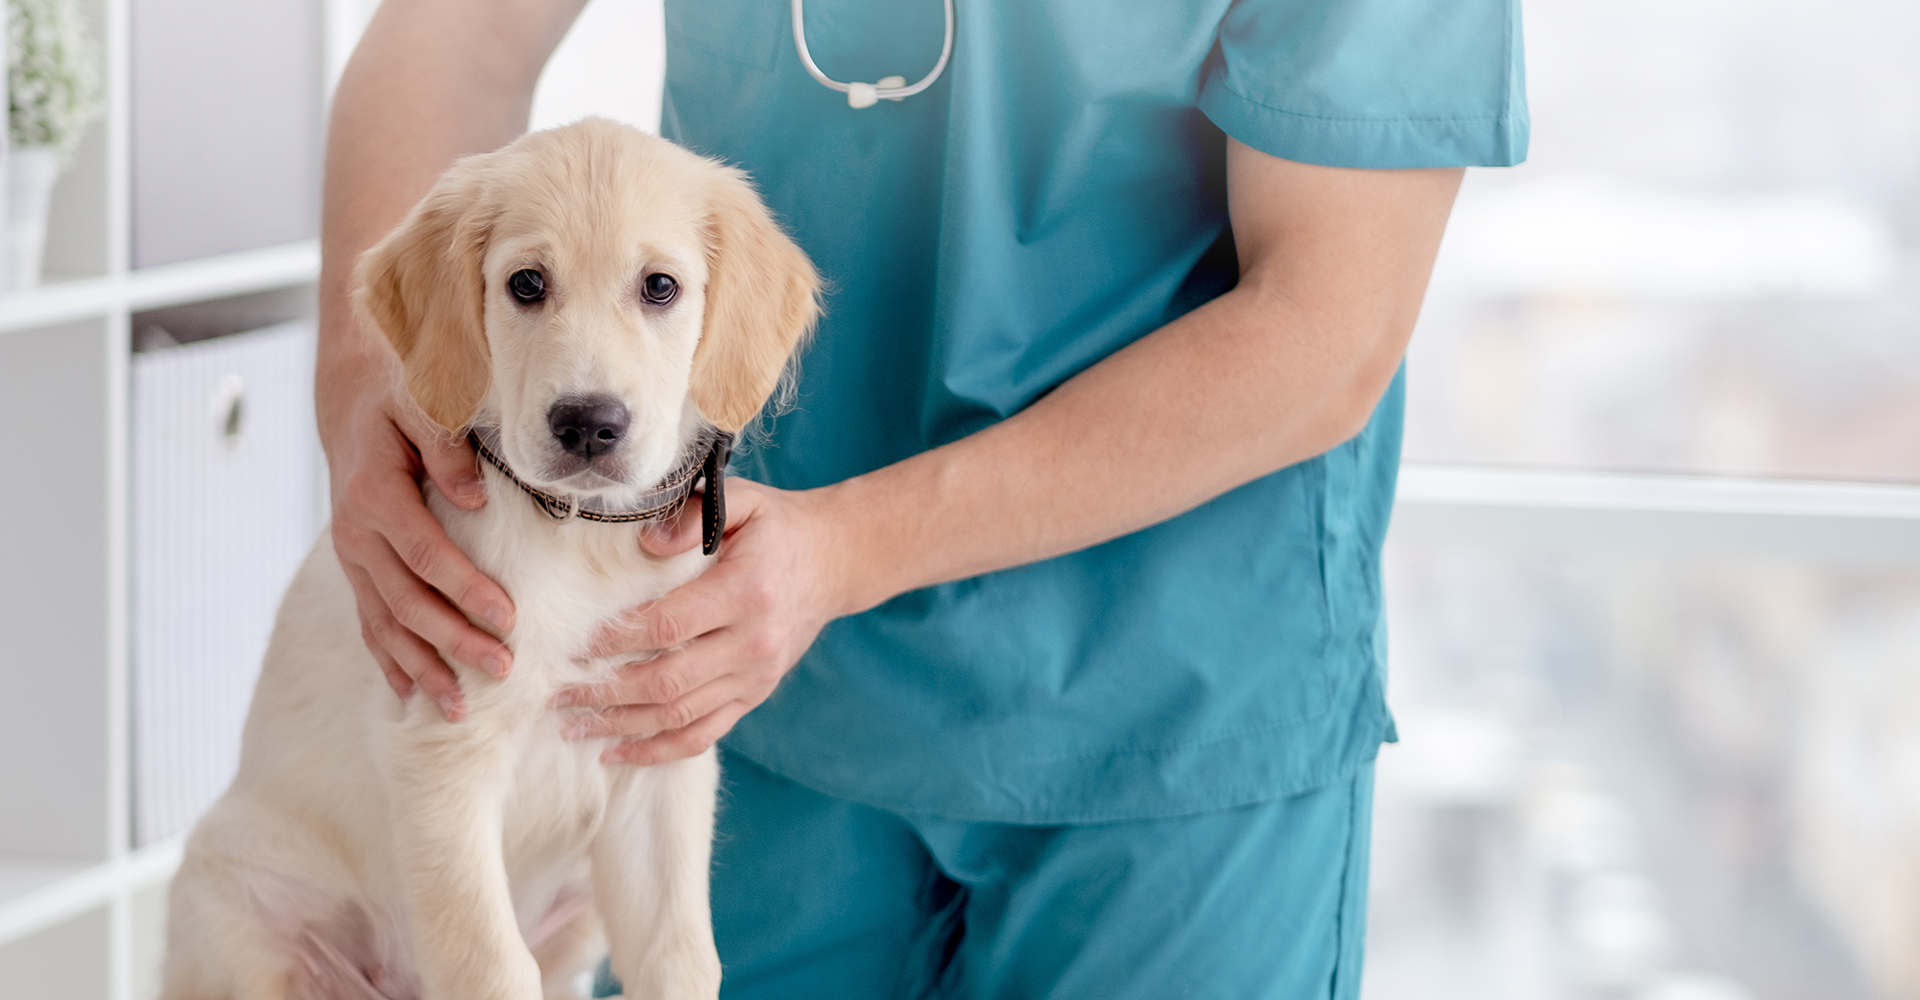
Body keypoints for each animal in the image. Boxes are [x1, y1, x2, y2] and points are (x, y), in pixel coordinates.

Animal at [163, 122, 817, 998]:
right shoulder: (443, 749)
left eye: (660, 287)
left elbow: (679, 955)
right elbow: (487, 961)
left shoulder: (659, 758)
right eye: (527, 283)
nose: (588, 424)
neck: (582, 538)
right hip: (241, 906)